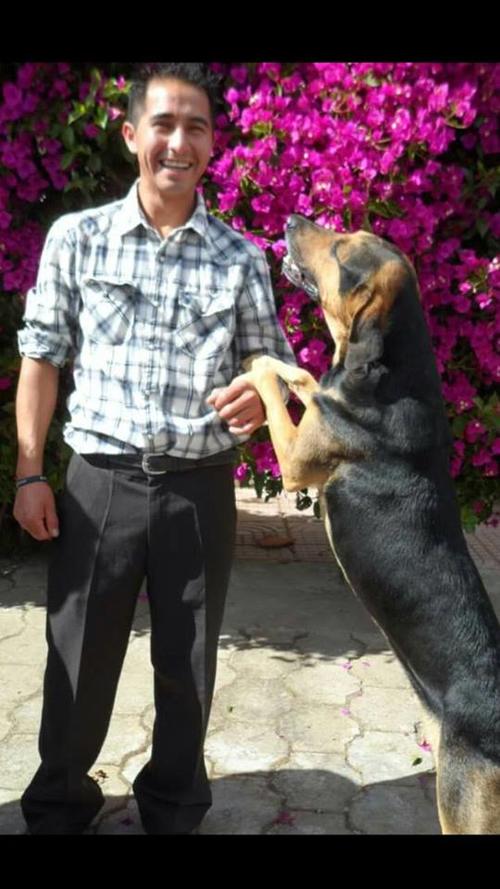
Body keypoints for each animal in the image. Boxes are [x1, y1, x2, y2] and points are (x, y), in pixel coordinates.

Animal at [241, 213, 500, 832]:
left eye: (339, 251)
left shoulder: (296, 462)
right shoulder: (321, 398)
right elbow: (303, 378)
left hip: (462, 801)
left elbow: (272, 390)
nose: (291, 219)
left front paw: (258, 364)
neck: (386, 371)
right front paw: (288, 366)